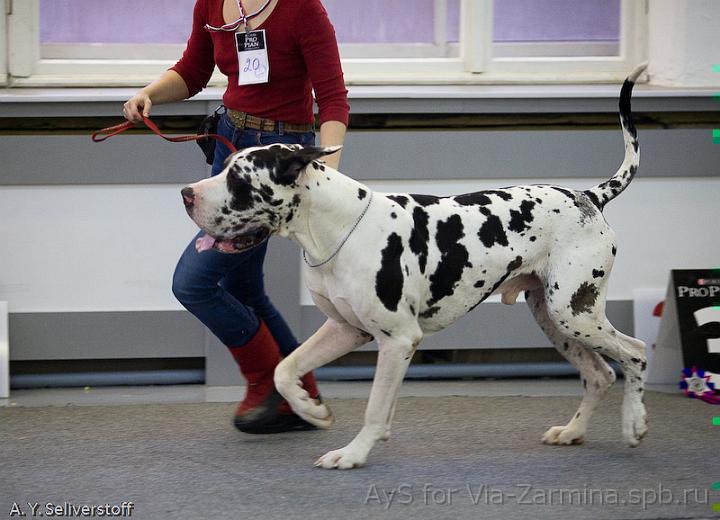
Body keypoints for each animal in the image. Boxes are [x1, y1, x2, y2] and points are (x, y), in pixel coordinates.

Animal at [183, 63, 648, 470]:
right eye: (224, 168)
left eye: (239, 181)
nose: (187, 193)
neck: (338, 226)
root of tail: (589, 195)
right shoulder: (344, 330)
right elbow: (285, 369)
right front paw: (311, 410)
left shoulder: (398, 340)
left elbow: (374, 408)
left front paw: (352, 453)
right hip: (554, 319)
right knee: (600, 374)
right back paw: (572, 431)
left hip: (575, 314)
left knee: (635, 354)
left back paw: (634, 424)